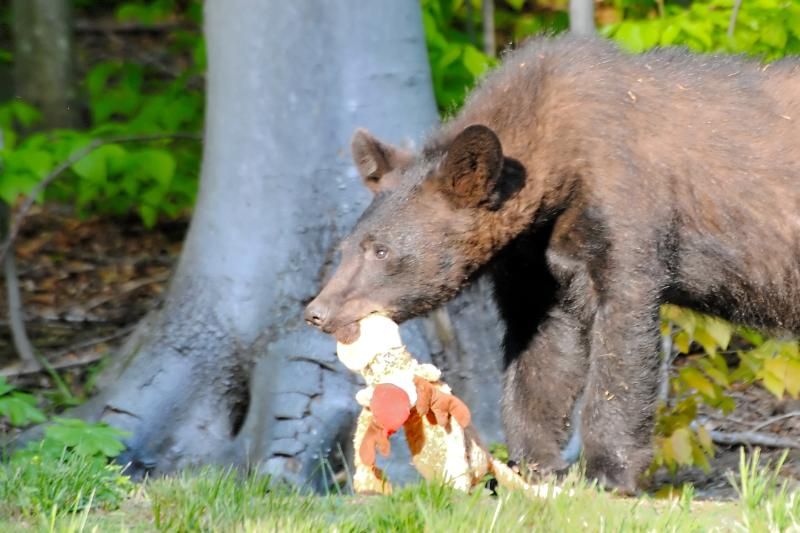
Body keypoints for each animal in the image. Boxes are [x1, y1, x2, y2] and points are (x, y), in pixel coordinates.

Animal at [304, 33, 800, 493]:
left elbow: (622, 336)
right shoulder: (535, 260)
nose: (317, 312)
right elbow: (541, 351)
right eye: (347, 247)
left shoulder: (628, 206)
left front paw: (608, 471)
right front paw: (535, 465)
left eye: (381, 250)